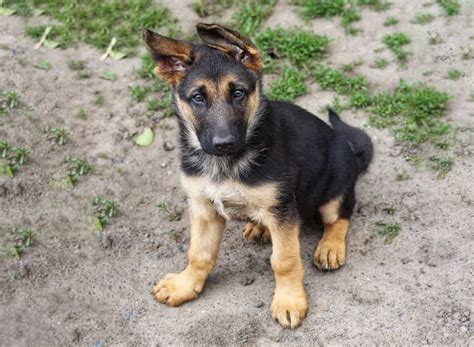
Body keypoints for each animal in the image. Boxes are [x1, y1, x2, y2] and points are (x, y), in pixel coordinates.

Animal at [143, 22, 372, 328]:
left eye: (238, 93)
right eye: (198, 98)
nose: (223, 143)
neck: (225, 164)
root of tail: (350, 151)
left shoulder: (281, 209)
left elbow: (284, 260)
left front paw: (289, 301)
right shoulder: (203, 207)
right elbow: (199, 253)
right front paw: (185, 285)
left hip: (336, 185)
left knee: (340, 216)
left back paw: (329, 247)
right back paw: (259, 227)